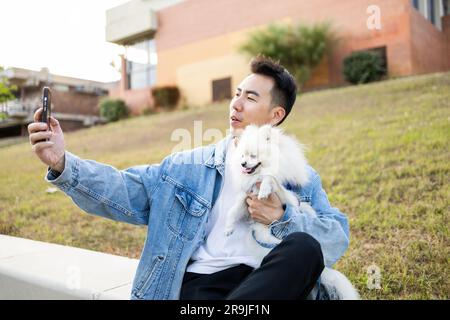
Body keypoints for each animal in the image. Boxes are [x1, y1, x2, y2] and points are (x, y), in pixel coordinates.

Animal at [227, 124, 360, 300]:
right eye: (242, 155)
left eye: (253, 155)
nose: (243, 164)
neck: (257, 177)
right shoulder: (246, 198)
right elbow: (234, 210)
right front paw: (228, 228)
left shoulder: (282, 192)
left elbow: (270, 178)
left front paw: (264, 189)